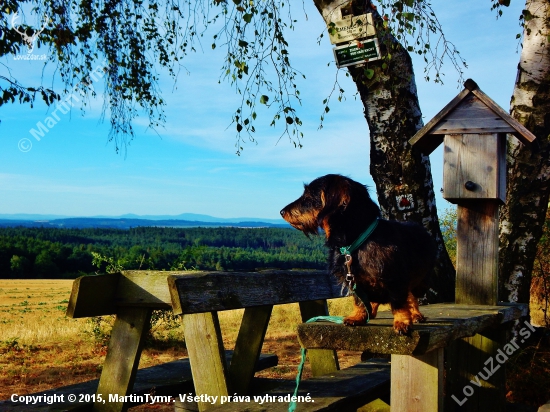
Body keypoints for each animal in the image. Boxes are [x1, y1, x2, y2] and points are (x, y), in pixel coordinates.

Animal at [282, 174, 438, 334]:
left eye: (308, 196)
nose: (282, 212)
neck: (357, 240)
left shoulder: (395, 278)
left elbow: (399, 302)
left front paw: (402, 321)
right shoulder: (354, 279)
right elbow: (359, 301)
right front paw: (358, 317)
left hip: (420, 282)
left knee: (411, 297)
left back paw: (416, 314)